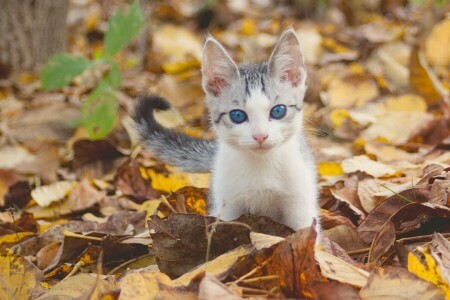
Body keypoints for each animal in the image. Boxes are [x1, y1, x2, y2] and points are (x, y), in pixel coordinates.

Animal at [133, 28, 316, 230]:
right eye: (238, 115)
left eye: (278, 111)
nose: (260, 136)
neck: (261, 166)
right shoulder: (227, 205)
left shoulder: (300, 202)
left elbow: (306, 231)